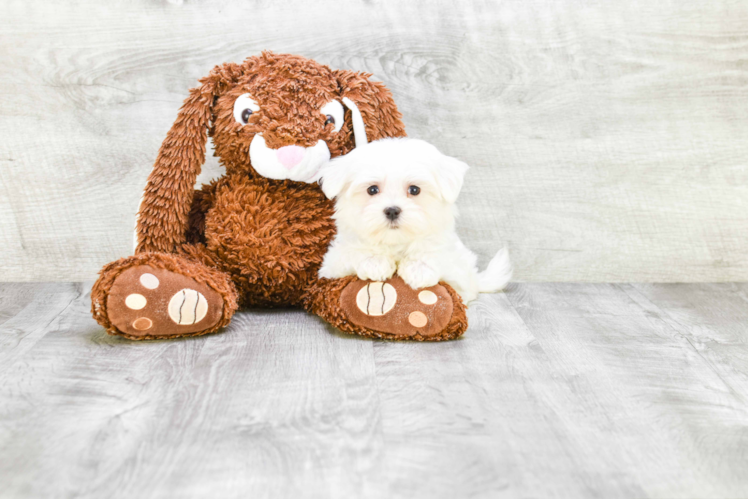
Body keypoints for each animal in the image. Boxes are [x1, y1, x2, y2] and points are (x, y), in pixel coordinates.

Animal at [316, 136, 516, 304]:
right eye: (372, 190)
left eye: (414, 190)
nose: (392, 210)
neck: (396, 243)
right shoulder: (332, 264)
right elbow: (353, 252)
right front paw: (374, 261)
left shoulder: (458, 272)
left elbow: (434, 253)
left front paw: (419, 269)